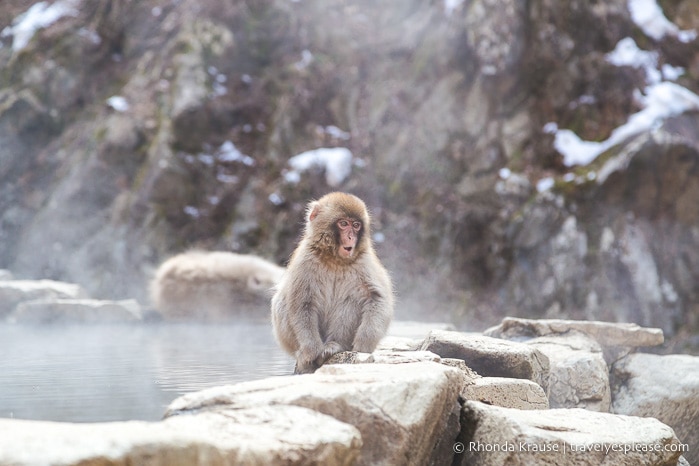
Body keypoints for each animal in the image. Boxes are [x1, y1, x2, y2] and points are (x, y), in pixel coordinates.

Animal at [272, 191, 394, 374]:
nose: (351, 236)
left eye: (356, 225)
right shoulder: (305, 259)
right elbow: (301, 302)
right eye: (343, 224)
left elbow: (376, 297)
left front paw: (363, 344)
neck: (334, 258)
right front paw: (311, 350)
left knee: (351, 300)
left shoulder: (364, 261)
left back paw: (334, 346)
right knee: (280, 302)